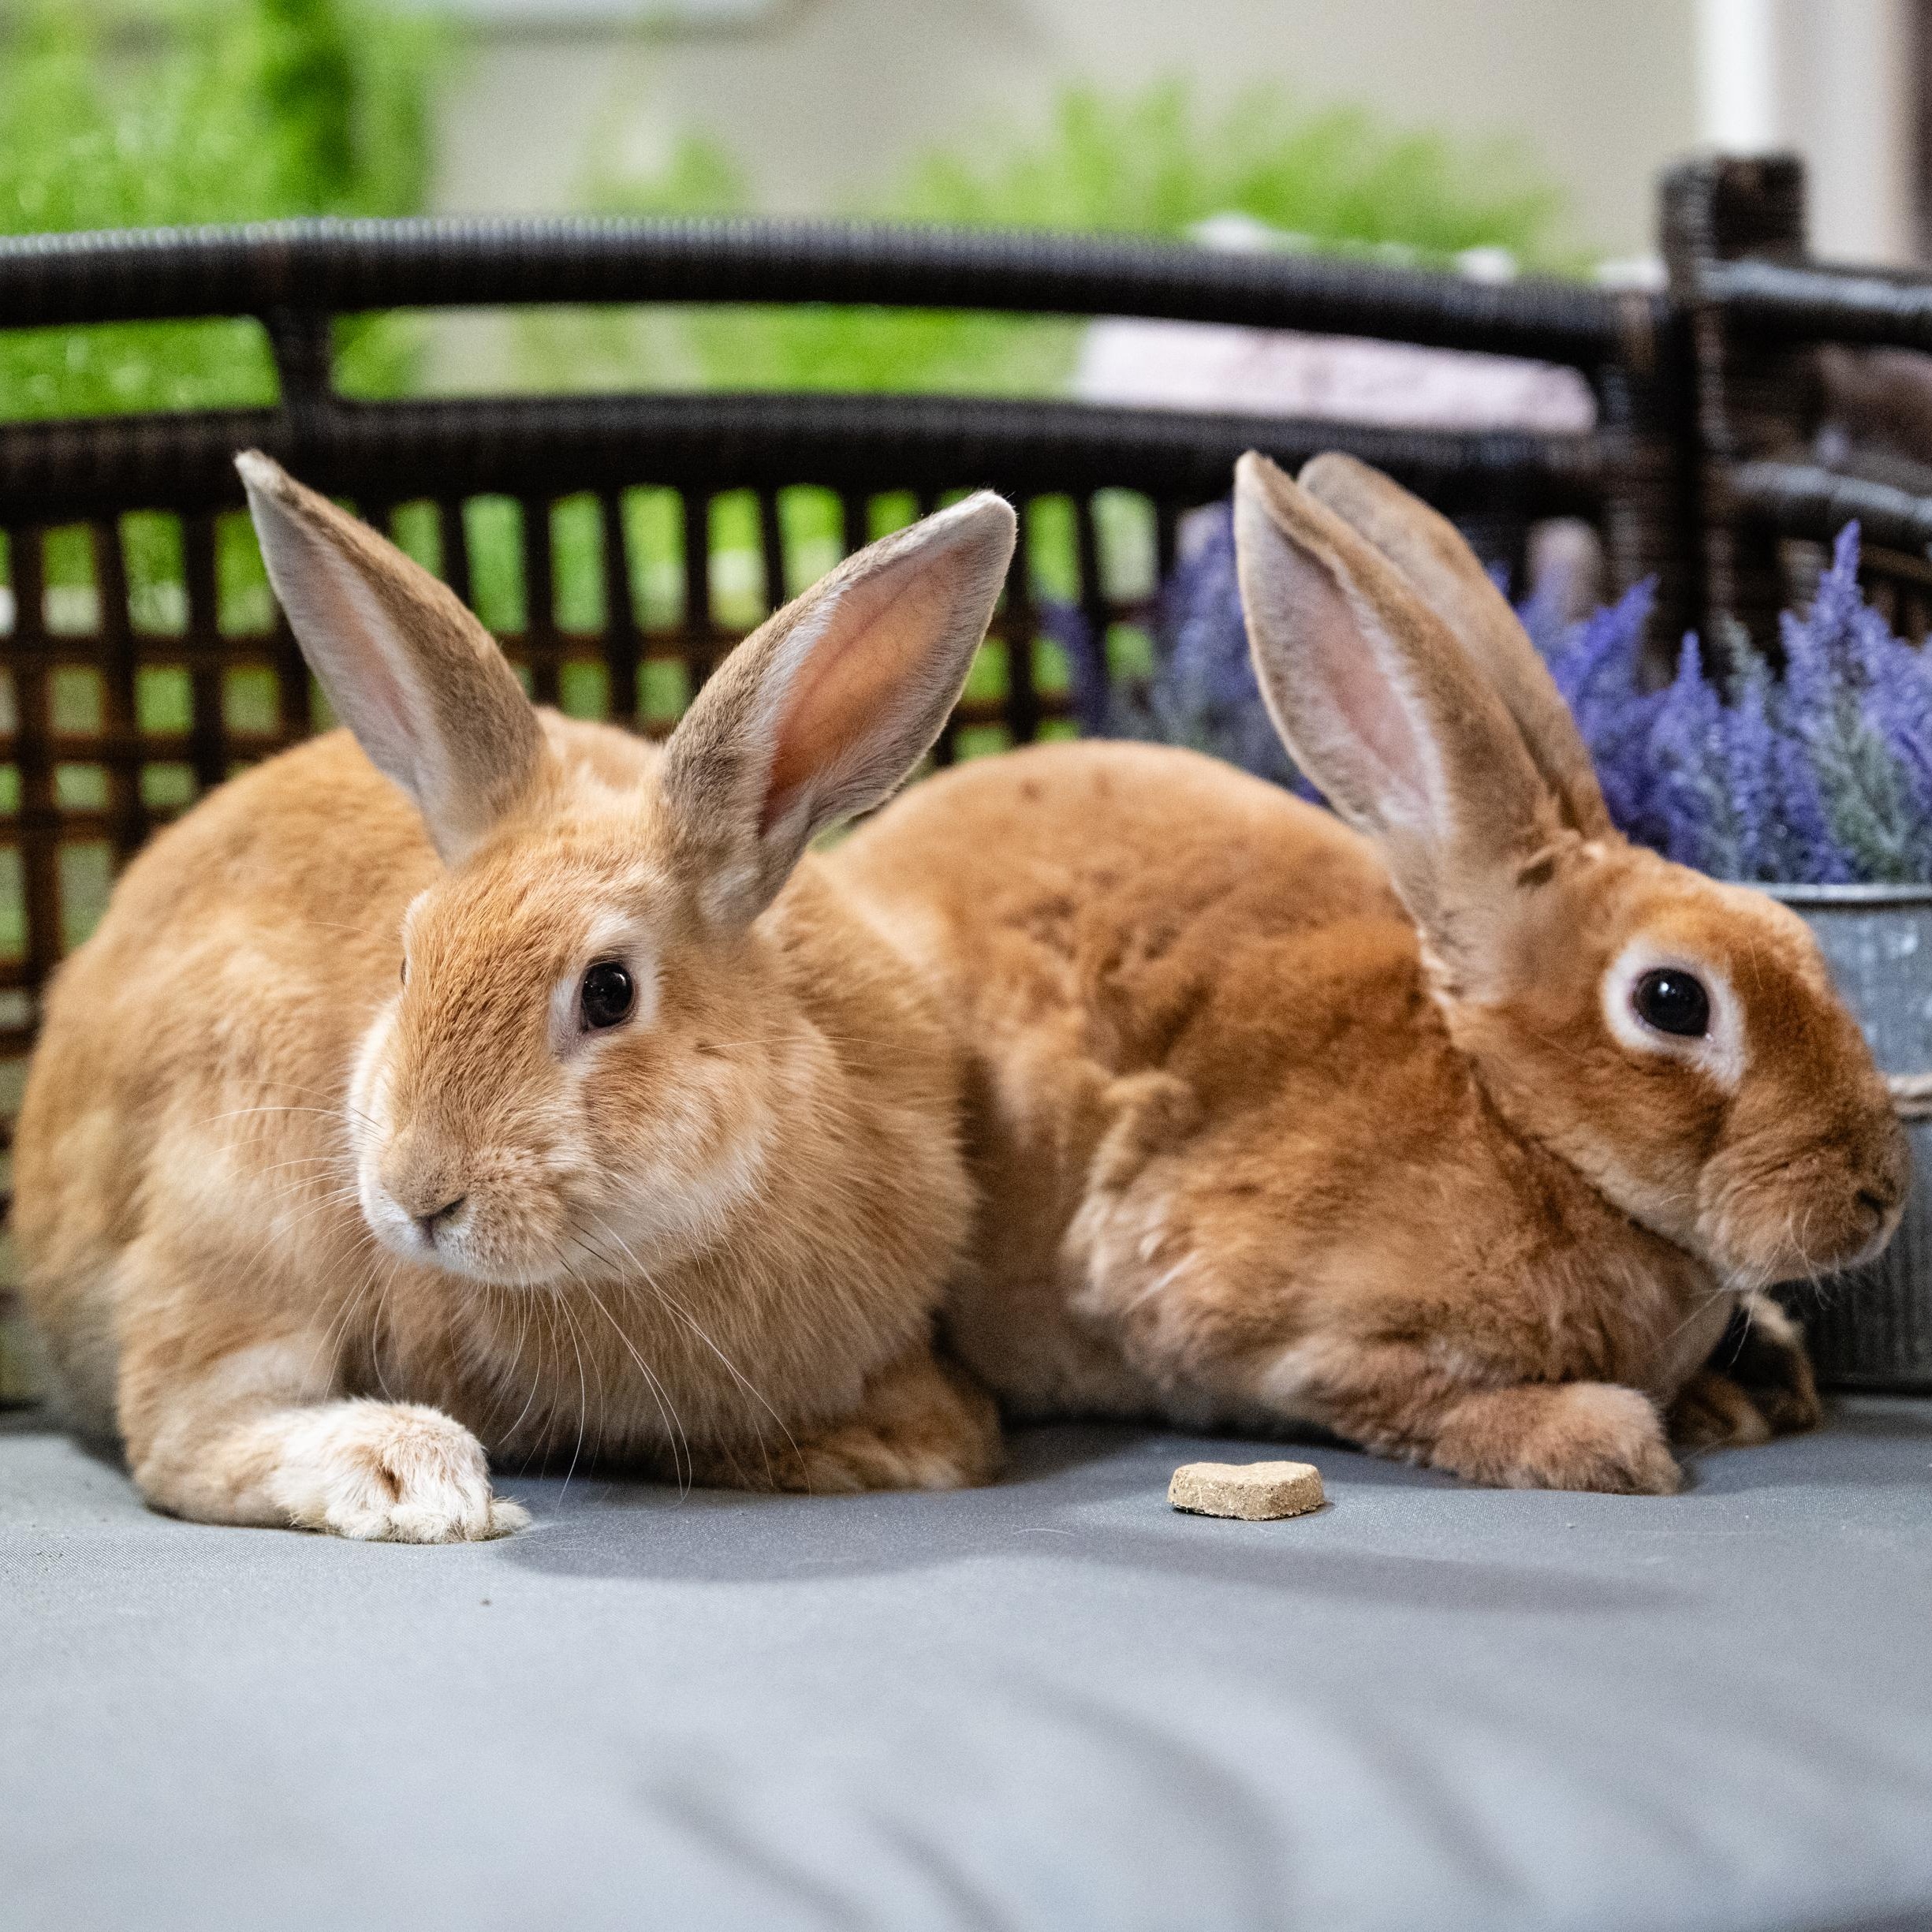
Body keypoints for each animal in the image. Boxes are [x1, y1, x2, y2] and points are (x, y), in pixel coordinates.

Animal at [11, 451, 1016, 1539]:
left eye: (609, 991)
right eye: (406, 965)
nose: (417, 1195)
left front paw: (922, 1440)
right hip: (234, 1176)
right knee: (182, 1429)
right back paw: (415, 1474)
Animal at [831, 450, 1908, 1493]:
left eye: (1792, 931)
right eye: (1672, 999)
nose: (1878, 1195)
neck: (1515, 1125)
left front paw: (1734, 1393)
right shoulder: (1281, 1339)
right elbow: (1411, 1400)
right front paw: (1602, 1440)